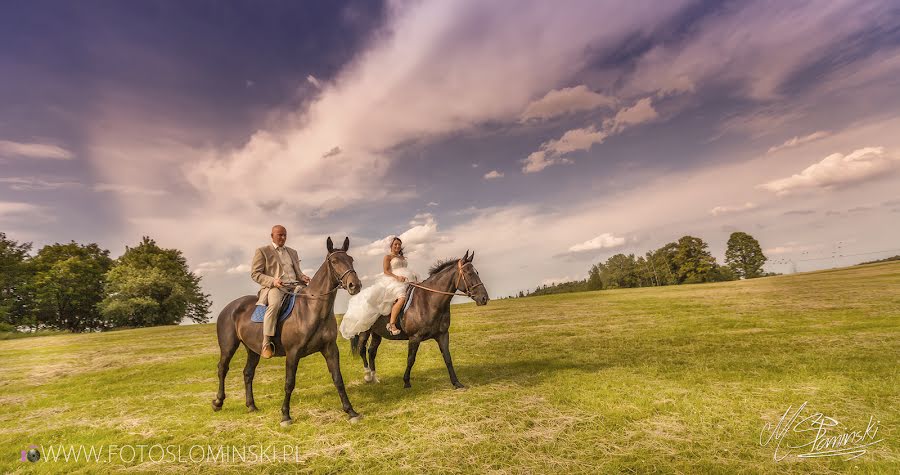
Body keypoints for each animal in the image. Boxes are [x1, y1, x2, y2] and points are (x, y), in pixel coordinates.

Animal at [212, 236, 362, 426]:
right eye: (334, 261)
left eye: (351, 259)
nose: (354, 285)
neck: (311, 309)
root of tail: (228, 308)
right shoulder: (293, 353)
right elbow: (289, 383)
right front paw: (285, 416)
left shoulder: (330, 349)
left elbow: (338, 379)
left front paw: (351, 411)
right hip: (228, 347)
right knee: (222, 369)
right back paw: (218, 402)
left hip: (253, 350)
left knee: (248, 373)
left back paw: (251, 405)